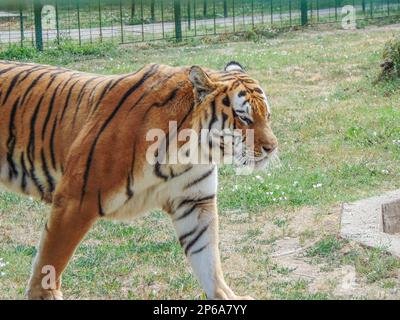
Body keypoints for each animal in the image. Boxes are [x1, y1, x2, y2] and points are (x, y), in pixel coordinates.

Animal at [0, 59, 278, 300]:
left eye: (268, 115)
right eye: (244, 118)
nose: (272, 147)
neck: (191, 151)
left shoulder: (195, 202)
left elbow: (208, 258)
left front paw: (225, 296)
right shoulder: (75, 200)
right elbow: (52, 259)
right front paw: (44, 295)